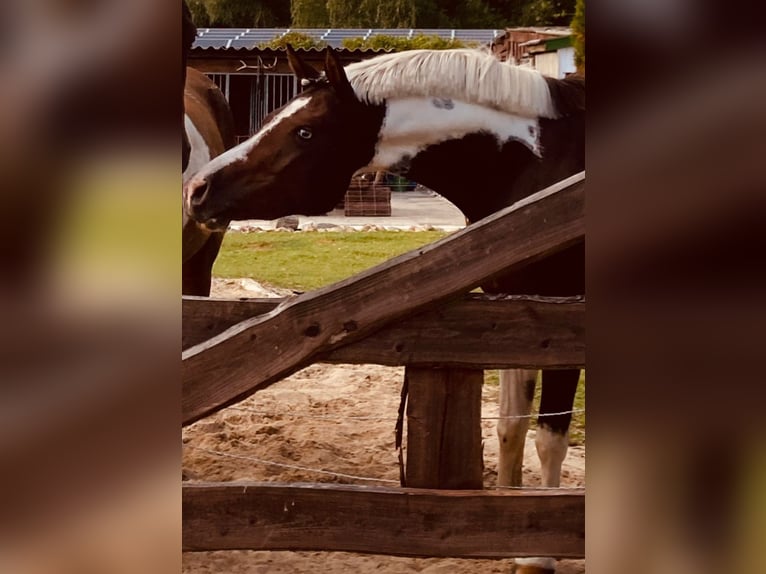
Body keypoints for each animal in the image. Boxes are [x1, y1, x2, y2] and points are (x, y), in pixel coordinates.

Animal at [186, 46, 588, 574]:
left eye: (305, 132)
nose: (197, 190)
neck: (542, 167)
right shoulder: (522, 319)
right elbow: (509, 428)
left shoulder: (563, 328)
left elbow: (548, 437)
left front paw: (538, 557)